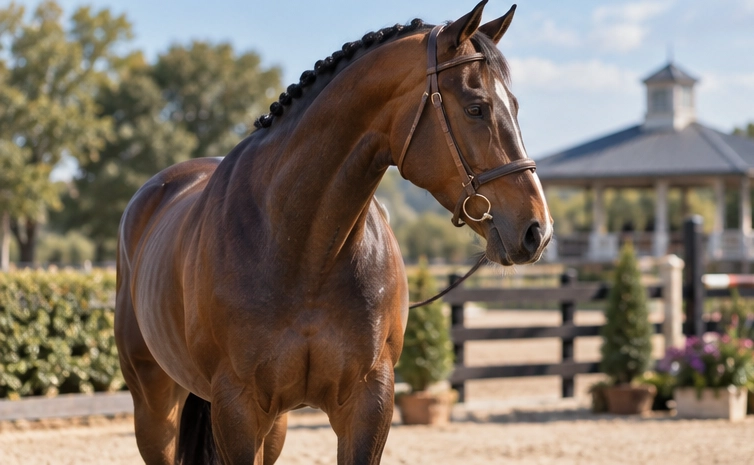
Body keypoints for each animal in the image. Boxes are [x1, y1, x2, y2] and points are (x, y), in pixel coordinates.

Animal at [115, 2, 552, 463]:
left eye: (515, 106)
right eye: (475, 108)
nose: (537, 229)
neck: (302, 250)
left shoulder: (367, 403)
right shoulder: (237, 407)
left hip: (274, 425)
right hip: (155, 407)